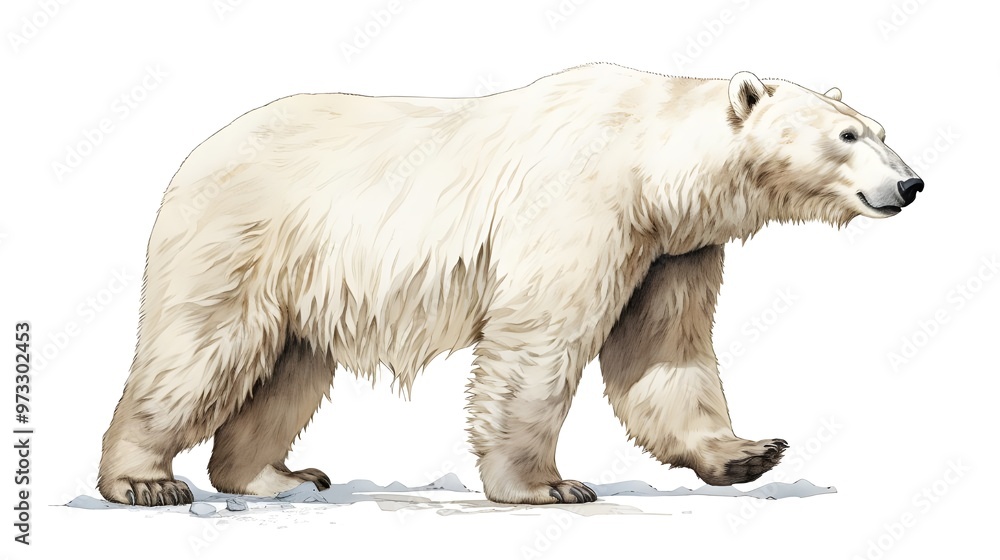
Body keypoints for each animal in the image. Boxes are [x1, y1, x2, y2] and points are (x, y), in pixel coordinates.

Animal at [97, 63, 923, 506]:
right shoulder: (583, 206)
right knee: (203, 349)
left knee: (289, 371)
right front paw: (549, 485)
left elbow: (664, 356)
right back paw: (144, 480)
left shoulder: (671, 250)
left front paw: (749, 453)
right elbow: (541, 341)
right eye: (848, 134)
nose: (911, 184)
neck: (651, 163)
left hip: (308, 278)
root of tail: (192, 155)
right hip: (242, 240)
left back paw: (280, 475)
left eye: (881, 127)